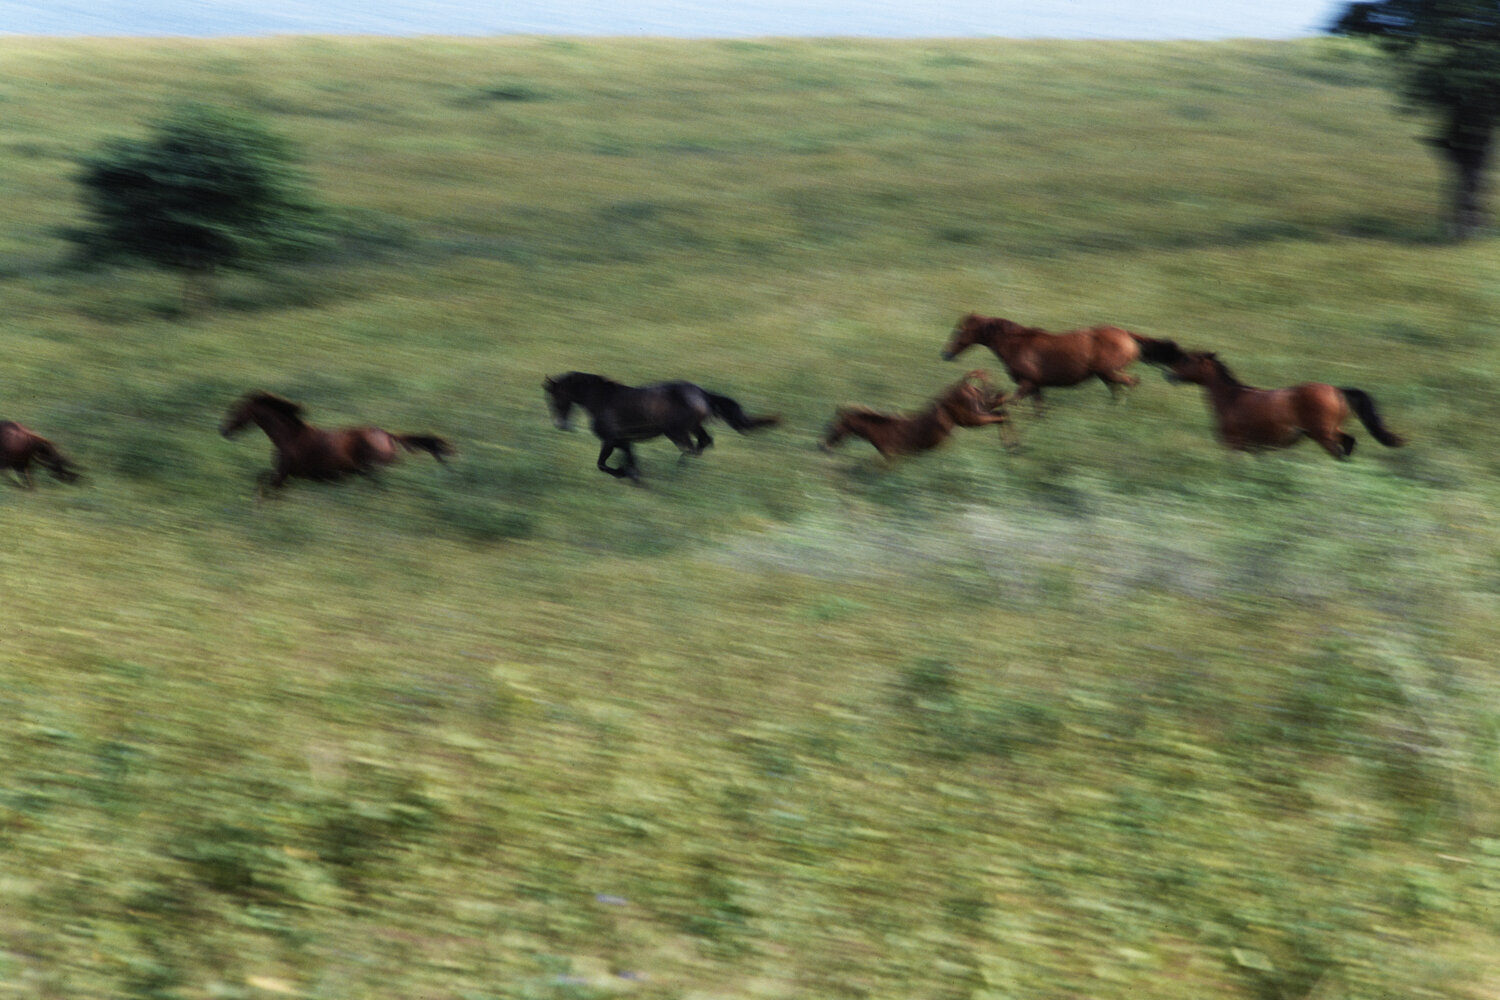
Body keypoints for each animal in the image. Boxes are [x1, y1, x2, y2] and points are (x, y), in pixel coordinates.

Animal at [217, 389, 450, 491]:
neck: (289, 437)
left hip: (376, 469)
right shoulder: (286, 476)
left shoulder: (283, 474)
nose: (223, 431)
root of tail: (388, 435)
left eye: (234, 409)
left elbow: (264, 482)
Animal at [543, 373, 780, 485]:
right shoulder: (623, 442)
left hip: (676, 431)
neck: (600, 400)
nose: (560, 425)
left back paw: (678, 471)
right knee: (704, 442)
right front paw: (633, 477)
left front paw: (623, 474)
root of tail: (701, 393)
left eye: (554, 398)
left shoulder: (610, 440)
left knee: (692, 447)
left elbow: (602, 464)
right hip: (691, 427)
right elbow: (629, 462)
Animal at [822, 371, 1020, 458]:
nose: (822, 446)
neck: (884, 428)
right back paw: (1013, 444)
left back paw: (1011, 445)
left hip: (972, 418)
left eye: (830, 426)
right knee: (1001, 405)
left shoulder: (893, 456)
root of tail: (965, 384)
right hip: (980, 409)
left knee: (1000, 414)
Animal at [936, 308, 1182, 410]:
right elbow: (1038, 409)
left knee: (1131, 383)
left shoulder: (1027, 384)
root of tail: (1127, 335)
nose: (945, 354)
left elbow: (1007, 401)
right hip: (1105, 374)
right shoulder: (1035, 387)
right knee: (1121, 387)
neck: (1017, 345)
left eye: (958, 331)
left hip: (1109, 372)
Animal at [1158, 352, 1404, 461]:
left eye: (1187, 360)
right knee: (1349, 442)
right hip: (1330, 430)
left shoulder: (1233, 444)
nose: (1168, 374)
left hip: (1322, 434)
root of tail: (1337, 390)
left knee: (1340, 449)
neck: (1232, 398)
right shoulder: (1255, 448)